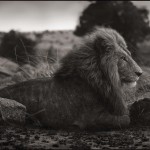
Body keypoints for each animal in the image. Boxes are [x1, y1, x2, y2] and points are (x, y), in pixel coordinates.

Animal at [0, 27, 143, 129]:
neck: (105, 80)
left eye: (129, 55)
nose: (140, 73)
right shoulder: (90, 118)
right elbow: (126, 119)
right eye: (123, 58)